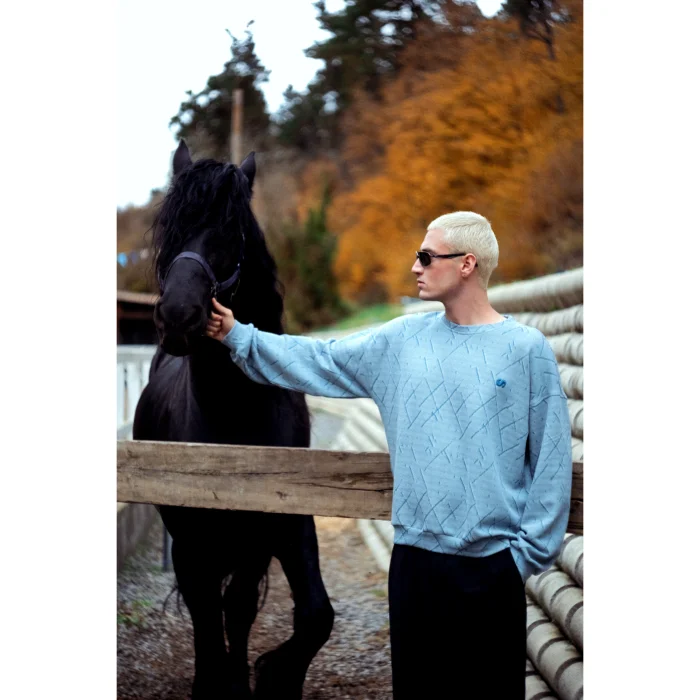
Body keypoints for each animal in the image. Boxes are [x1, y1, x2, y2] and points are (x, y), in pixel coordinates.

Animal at [132, 140, 335, 700]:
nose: (179, 316)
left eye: (233, 230)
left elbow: (302, 612)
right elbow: (206, 611)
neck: (233, 418)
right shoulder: (190, 533)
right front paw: (219, 681)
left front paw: (267, 677)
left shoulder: (279, 522)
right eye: (170, 228)